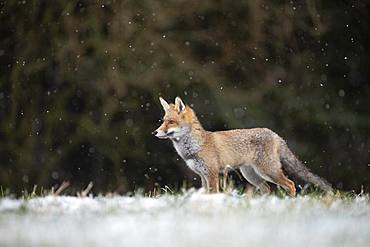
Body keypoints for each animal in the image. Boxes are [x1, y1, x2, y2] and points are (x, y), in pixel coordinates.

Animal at [153, 96, 332, 195]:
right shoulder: (203, 175)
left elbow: (214, 193)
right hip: (251, 175)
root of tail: (274, 133)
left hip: (268, 171)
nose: (155, 132)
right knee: (268, 189)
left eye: (170, 122)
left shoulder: (212, 174)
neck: (196, 146)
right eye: (163, 121)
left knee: (291, 184)